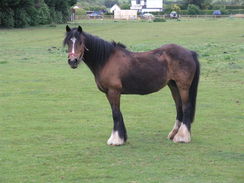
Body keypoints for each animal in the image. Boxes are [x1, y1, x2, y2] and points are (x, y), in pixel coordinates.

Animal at [63, 25, 200, 146]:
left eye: (81, 42)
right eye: (68, 42)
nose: (72, 61)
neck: (106, 60)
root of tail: (189, 52)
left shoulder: (114, 91)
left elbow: (115, 113)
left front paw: (116, 140)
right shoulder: (109, 93)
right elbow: (118, 113)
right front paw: (122, 137)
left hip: (183, 86)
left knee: (186, 107)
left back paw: (182, 137)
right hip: (173, 85)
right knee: (179, 107)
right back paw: (174, 134)